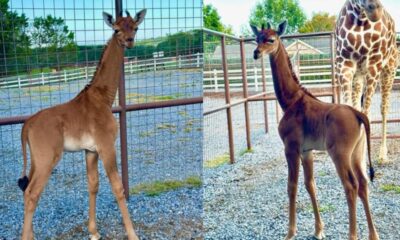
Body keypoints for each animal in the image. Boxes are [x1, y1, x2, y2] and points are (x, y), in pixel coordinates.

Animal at [17, 8, 147, 240]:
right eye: (116, 29)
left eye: (135, 27)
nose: (129, 41)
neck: (103, 98)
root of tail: (27, 125)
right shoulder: (106, 145)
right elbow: (117, 187)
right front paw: (133, 235)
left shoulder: (90, 150)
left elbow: (93, 184)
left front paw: (94, 232)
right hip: (47, 159)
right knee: (32, 193)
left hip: (36, 160)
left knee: (26, 190)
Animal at [252, 21, 380, 240]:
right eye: (256, 38)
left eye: (271, 39)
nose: (256, 53)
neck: (290, 101)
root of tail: (358, 114)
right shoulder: (306, 151)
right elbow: (310, 184)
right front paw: (319, 230)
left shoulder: (291, 148)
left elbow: (292, 186)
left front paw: (290, 233)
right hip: (357, 153)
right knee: (363, 184)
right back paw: (374, 235)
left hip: (339, 153)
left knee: (351, 185)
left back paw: (352, 235)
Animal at [336, 0, 398, 163]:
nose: (375, 10)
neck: (360, 19)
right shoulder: (344, 64)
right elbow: (351, 109)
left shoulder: (374, 65)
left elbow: (367, 113)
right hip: (359, 74)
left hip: (389, 70)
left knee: (384, 108)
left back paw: (383, 154)